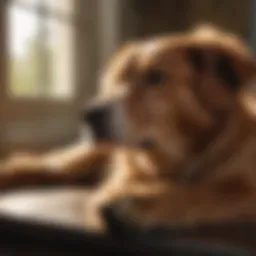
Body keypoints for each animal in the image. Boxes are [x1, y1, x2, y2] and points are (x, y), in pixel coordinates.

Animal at [0, 25, 256, 233]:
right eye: (118, 78)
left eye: (155, 77)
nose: (90, 114)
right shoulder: (123, 176)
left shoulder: (240, 187)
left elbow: (205, 192)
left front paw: (137, 203)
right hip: (78, 161)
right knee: (30, 163)